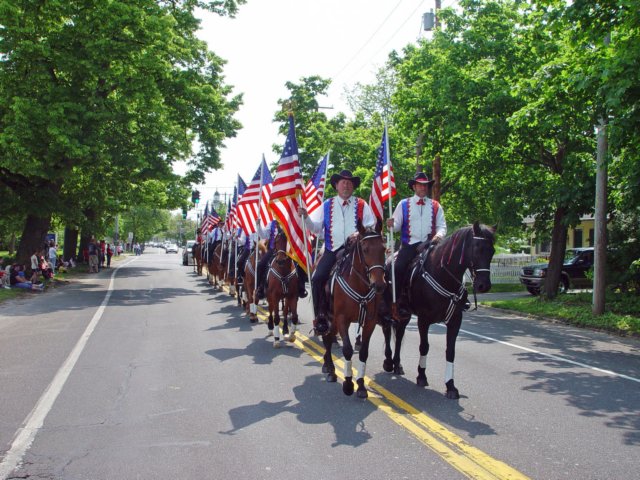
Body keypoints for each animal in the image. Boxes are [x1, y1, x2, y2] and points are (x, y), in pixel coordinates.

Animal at [320, 223, 384, 400]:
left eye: (383, 248)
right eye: (365, 249)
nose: (379, 285)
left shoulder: (370, 322)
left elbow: (363, 352)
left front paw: (361, 386)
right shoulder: (342, 319)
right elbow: (347, 349)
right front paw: (348, 384)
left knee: (329, 337)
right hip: (331, 317)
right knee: (327, 338)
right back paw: (330, 370)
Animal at [380, 220, 496, 398]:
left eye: (492, 251)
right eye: (477, 248)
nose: (484, 285)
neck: (443, 275)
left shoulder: (455, 321)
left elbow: (450, 352)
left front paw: (450, 386)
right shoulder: (423, 320)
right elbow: (424, 346)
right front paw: (421, 376)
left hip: (405, 315)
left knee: (399, 336)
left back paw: (397, 365)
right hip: (388, 310)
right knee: (387, 331)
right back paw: (388, 361)